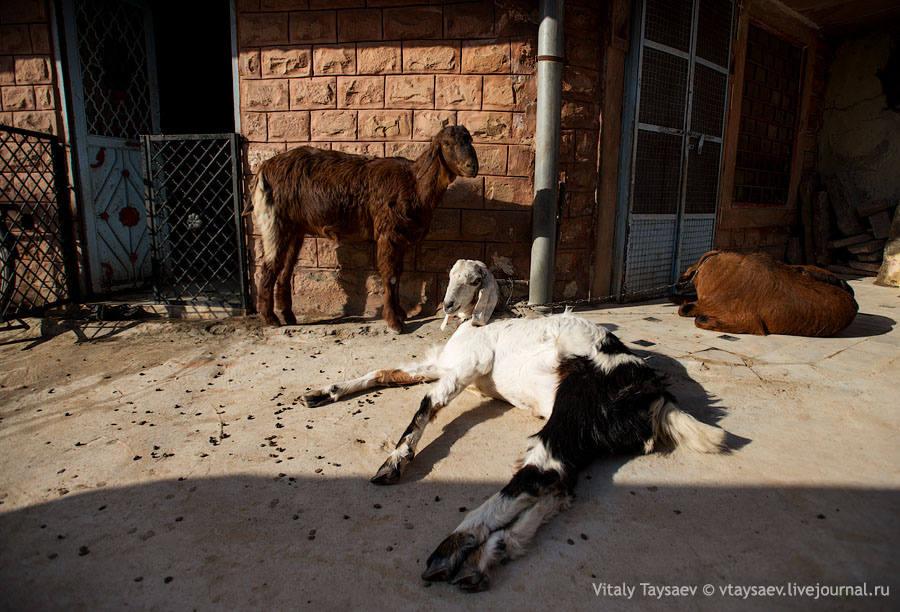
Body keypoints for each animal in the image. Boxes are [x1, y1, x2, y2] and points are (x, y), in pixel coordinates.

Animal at [246, 125, 478, 334]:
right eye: (447, 144)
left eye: (470, 140)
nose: (472, 166)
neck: (413, 183)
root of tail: (264, 169)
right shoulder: (387, 231)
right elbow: (390, 276)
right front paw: (394, 322)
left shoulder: (399, 237)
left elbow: (398, 273)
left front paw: (400, 312)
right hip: (276, 221)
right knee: (269, 265)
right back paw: (270, 318)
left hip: (295, 228)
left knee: (286, 268)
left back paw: (288, 316)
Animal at [306, 314, 728, 592]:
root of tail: (658, 398)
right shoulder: (441, 365)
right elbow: (388, 371)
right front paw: (324, 392)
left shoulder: (468, 364)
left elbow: (428, 402)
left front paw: (395, 460)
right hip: (580, 434)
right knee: (560, 487)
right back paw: (487, 555)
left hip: (573, 408)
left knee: (540, 474)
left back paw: (455, 546)